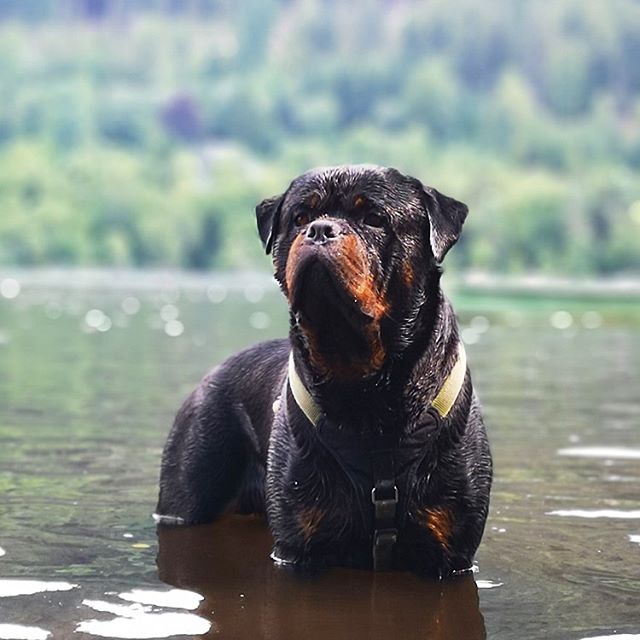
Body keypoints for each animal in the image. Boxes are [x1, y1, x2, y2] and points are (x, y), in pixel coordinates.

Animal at [154, 164, 490, 576]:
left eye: (374, 218)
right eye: (300, 217)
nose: (319, 229)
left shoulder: (451, 554)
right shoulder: (298, 547)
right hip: (187, 491)